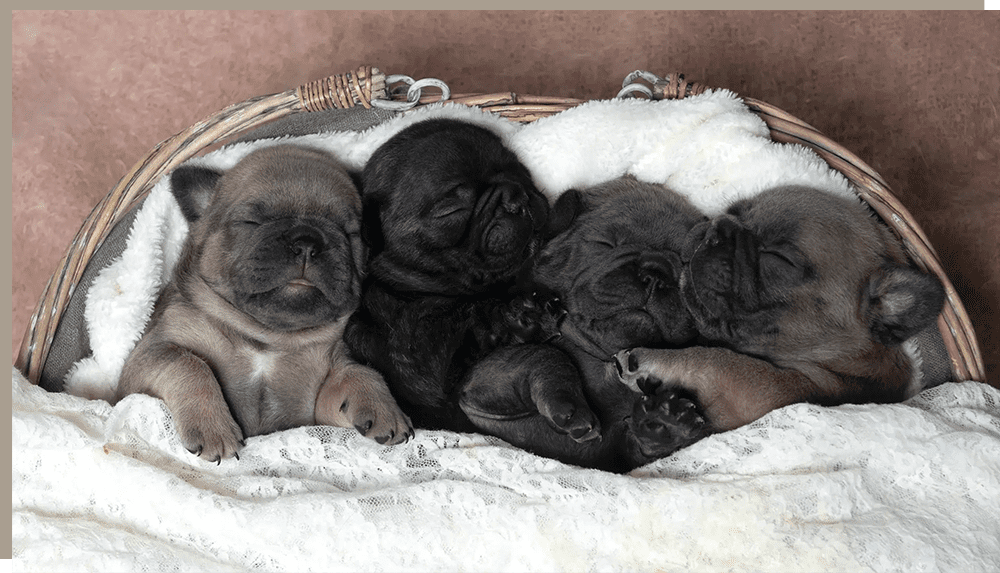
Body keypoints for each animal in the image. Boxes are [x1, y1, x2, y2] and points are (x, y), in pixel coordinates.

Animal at [117, 145, 414, 462]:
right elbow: (187, 363)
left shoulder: (318, 406)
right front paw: (213, 427)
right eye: (251, 222)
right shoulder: (148, 359)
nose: (307, 241)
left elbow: (358, 371)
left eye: (351, 233)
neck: (267, 338)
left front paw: (381, 405)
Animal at [344, 117, 596, 438]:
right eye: (451, 209)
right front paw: (529, 316)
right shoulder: (423, 353)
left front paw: (568, 205)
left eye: (521, 173)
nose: (517, 196)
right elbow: (479, 319)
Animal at [460, 177, 712, 472]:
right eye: (604, 243)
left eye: (686, 268)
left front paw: (664, 425)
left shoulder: (621, 456)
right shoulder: (481, 386)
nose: (655, 272)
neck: (607, 359)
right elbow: (543, 353)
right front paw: (568, 402)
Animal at [616, 185, 944, 432]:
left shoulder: (783, 389)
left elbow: (730, 363)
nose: (714, 231)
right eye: (731, 211)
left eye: (778, 258)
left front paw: (655, 361)